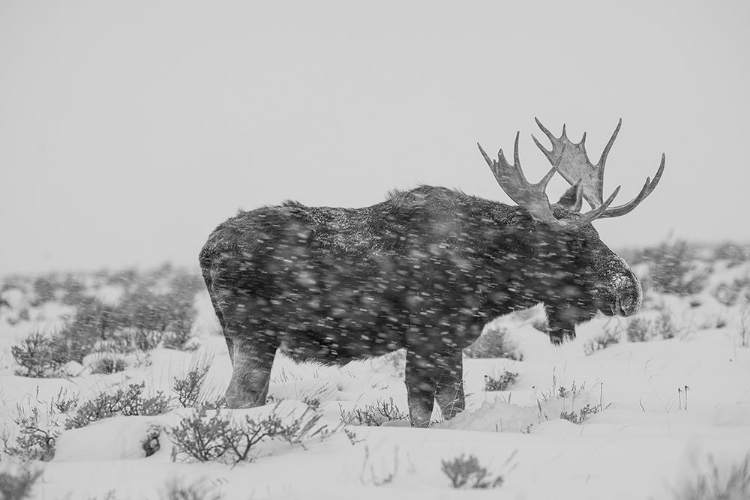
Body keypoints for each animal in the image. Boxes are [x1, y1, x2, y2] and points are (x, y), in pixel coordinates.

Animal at [200, 120, 664, 426]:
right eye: (574, 243)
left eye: (597, 233)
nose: (630, 290)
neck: (493, 281)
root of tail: (205, 252)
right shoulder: (426, 338)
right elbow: (421, 411)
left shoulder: (452, 341)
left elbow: (455, 404)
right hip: (254, 336)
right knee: (237, 399)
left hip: (239, 340)